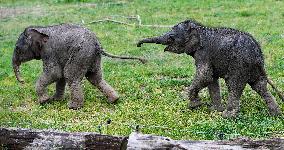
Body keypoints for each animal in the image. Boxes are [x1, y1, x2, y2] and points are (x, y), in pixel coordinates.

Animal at [12, 24, 146, 109]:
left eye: (17, 49)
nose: (22, 81)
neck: (41, 28)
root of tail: (98, 45)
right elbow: (60, 76)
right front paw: (55, 100)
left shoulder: (49, 52)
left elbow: (55, 73)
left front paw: (44, 101)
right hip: (92, 58)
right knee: (95, 78)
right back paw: (115, 100)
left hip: (81, 54)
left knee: (71, 76)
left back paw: (73, 107)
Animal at [137, 19, 282, 118]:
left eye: (171, 37)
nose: (138, 45)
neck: (200, 28)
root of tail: (258, 55)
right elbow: (211, 79)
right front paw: (214, 110)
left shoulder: (203, 53)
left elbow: (205, 75)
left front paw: (194, 105)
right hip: (252, 68)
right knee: (260, 86)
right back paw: (276, 114)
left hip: (240, 65)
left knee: (234, 85)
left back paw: (227, 116)